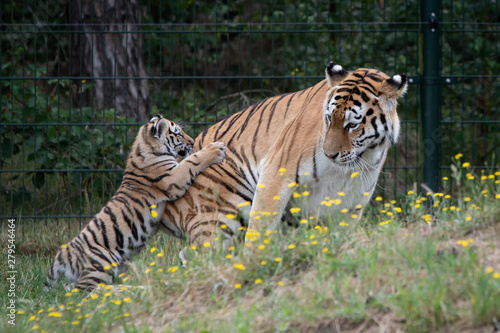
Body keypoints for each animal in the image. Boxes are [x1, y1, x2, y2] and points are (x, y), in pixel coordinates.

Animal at [46, 114, 226, 288]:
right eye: (179, 134)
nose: (193, 141)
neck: (144, 146)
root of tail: (64, 252)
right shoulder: (173, 177)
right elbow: (192, 160)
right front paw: (215, 149)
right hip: (102, 263)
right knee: (84, 292)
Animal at [160, 61, 406, 249]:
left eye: (352, 125)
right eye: (329, 119)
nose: (329, 154)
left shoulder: (354, 196)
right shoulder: (277, 171)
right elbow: (261, 227)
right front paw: (255, 262)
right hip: (219, 213)